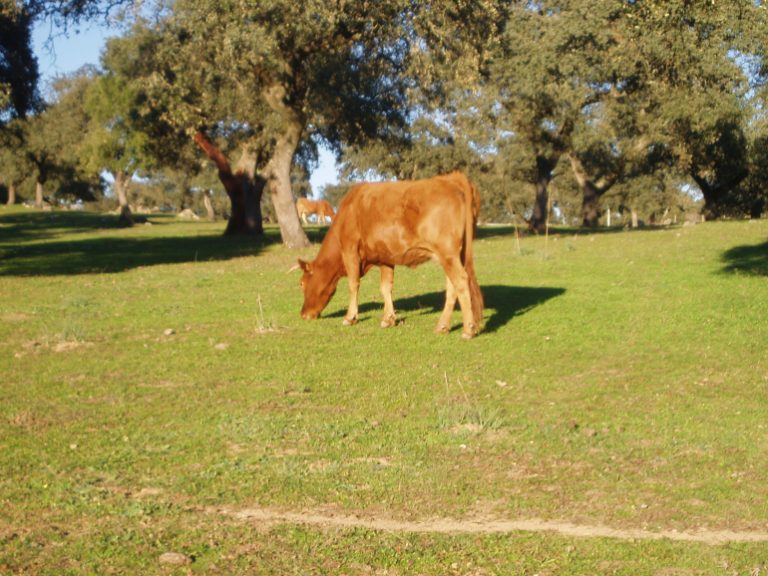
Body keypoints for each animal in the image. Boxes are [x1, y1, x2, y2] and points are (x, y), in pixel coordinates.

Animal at [292, 172, 484, 339]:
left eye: (301, 283)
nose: (303, 314)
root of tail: (452, 178)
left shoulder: (350, 250)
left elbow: (353, 284)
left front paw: (350, 317)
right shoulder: (385, 257)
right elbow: (386, 287)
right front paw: (388, 319)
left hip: (447, 253)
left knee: (461, 281)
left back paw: (468, 330)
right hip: (452, 255)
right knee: (452, 287)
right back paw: (442, 326)